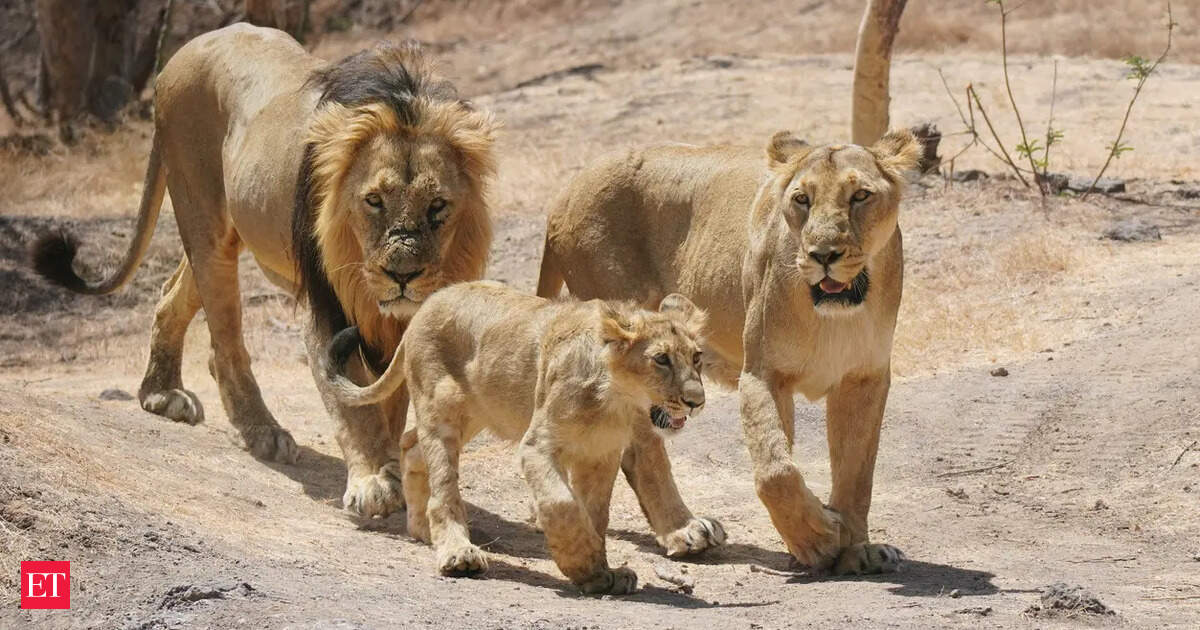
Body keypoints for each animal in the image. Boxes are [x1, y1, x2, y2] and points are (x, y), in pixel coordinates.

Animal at [30, 24, 496, 519]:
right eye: (374, 200)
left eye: (438, 206)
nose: (402, 275)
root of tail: (187, 50)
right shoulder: (326, 304)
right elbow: (354, 403)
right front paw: (373, 479)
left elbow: (390, 394)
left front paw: (396, 469)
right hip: (203, 216)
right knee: (225, 343)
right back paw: (262, 433)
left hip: (221, 234)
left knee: (173, 296)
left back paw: (160, 393)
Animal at [321, 281, 710, 592]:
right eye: (661, 359)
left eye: (697, 357)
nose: (697, 401)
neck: (615, 402)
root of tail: (426, 305)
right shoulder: (537, 446)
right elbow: (563, 504)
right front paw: (581, 561)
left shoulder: (600, 454)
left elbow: (595, 513)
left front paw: (600, 574)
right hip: (441, 405)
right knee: (442, 488)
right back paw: (457, 552)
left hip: (475, 413)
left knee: (412, 445)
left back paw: (421, 529)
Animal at [535, 129, 922, 574]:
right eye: (801, 199)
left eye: (860, 195)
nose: (823, 255)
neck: (834, 315)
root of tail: (565, 191)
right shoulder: (761, 373)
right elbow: (775, 470)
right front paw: (818, 538)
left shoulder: (864, 378)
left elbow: (857, 472)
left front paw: (857, 548)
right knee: (642, 448)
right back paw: (684, 530)